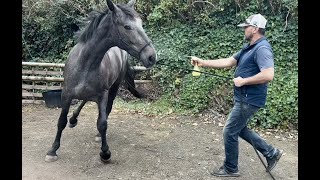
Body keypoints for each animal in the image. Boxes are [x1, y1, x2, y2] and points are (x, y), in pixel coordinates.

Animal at [45, 0, 158, 162]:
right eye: (127, 26)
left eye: (141, 24)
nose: (151, 57)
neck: (85, 63)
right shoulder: (66, 95)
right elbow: (61, 122)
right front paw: (52, 150)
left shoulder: (102, 95)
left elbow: (102, 123)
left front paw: (105, 152)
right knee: (84, 100)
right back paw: (73, 119)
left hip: (113, 88)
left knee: (104, 110)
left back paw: (95, 132)